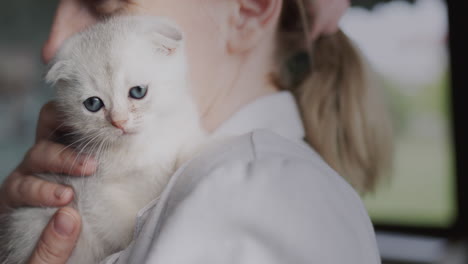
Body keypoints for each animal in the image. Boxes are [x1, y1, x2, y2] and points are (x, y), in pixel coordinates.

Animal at [0, 16, 205, 264]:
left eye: (138, 91)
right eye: (93, 104)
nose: (119, 122)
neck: (141, 149)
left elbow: (189, 148)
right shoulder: (91, 196)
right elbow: (123, 227)